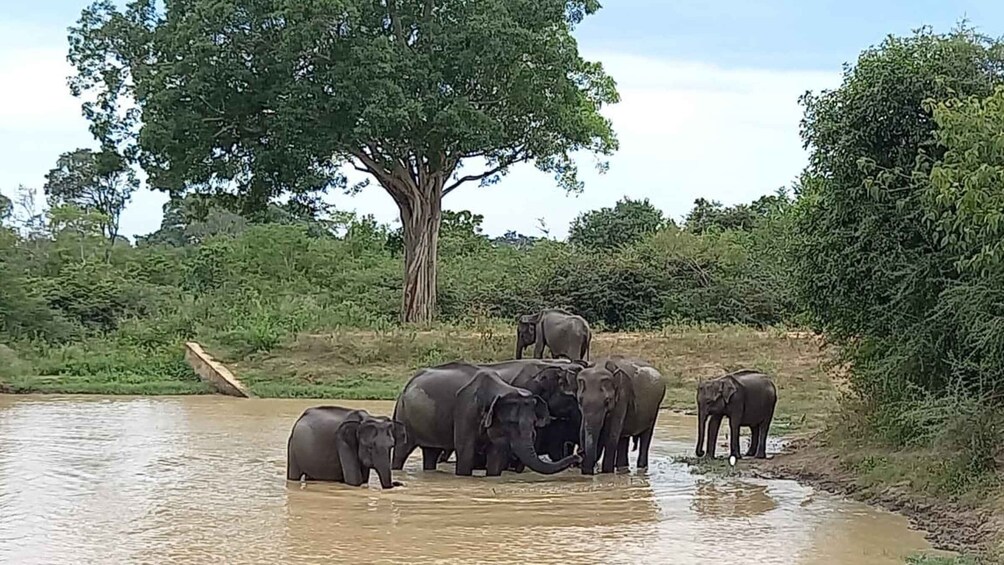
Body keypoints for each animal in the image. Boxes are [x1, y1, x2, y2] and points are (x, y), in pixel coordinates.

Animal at [391, 363, 582, 477]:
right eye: (511, 424)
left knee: (431, 452)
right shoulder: (465, 410)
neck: (501, 389)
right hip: (402, 413)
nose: (578, 457)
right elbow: (466, 452)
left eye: (534, 426)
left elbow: (496, 455)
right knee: (401, 450)